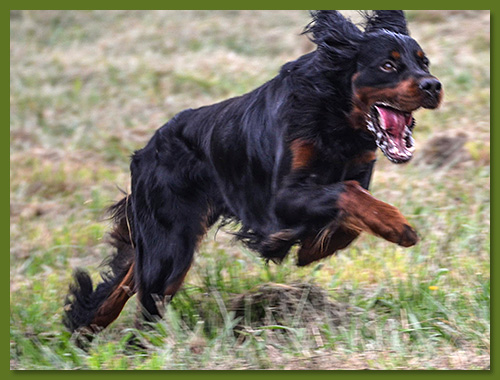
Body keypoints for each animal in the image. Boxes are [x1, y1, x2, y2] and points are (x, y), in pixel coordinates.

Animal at [62, 10, 442, 334]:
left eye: (424, 62)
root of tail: (144, 153)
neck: (335, 114)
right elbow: (347, 195)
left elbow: (349, 216)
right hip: (170, 246)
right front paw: (398, 226)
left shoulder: (355, 172)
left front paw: (309, 248)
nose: (433, 86)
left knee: (128, 276)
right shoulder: (279, 200)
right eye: (388, 65)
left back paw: (88, 327)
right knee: (148, 304)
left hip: (162, 239)